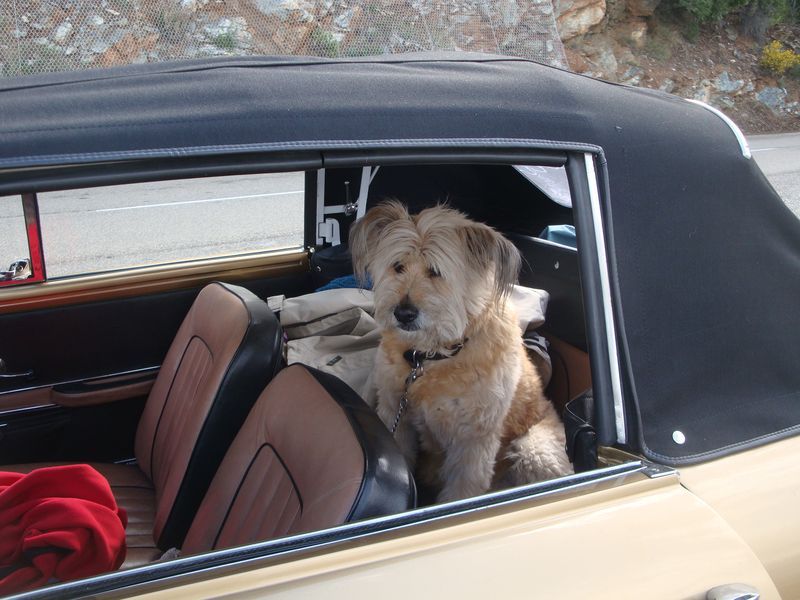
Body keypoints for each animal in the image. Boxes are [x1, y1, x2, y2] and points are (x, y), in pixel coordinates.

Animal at [350, 200, 573, 503]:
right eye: (398, 266)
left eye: (436, 271)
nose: (403, 314)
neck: (432, 358)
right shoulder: (396, 413)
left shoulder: (473, 441)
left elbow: (463, 488)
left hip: (536, 451)